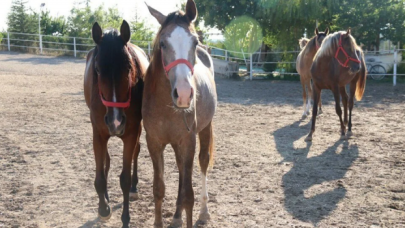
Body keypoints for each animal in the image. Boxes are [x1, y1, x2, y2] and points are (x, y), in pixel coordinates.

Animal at [83, 20, 149, 227]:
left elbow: (125, 180)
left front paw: (126, 219)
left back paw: (135, 188)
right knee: (107, 159)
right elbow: (100, 177)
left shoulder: (131, 134)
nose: (116, 122)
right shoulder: (98, 133)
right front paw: (103, 208)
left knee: (137, 151)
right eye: (97, 69)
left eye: (128, 68)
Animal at [144, 0, 216, 227]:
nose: (184, 94)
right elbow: (159, 188)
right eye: (163, 44)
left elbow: (188, 195)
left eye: (194, 42)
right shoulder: (154, 142)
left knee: (203, 162)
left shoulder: (187, 141)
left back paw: (204, 212)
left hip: (205, 128)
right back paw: (176, 217)